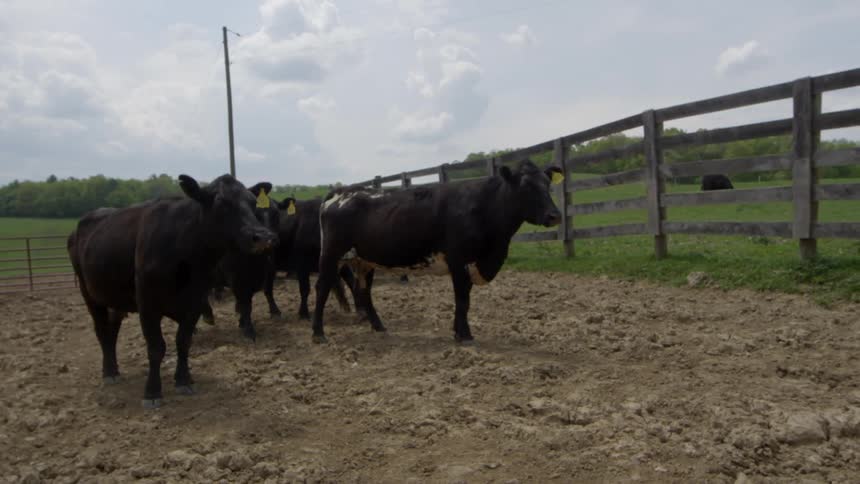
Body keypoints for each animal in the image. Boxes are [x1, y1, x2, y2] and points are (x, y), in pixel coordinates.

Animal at [200, 182, 285, 341]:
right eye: (256, 213)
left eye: (276, 214)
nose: (270, 239)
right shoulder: (236, 278)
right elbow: (244, 303)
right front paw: (248, 329)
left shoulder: (268, 270)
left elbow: (256, 297)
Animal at [311, 158, 563, 344]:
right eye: (526, 186)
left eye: (547, 184)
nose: (554, 215)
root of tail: (342, 192)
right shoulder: (458, 259)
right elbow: (462, 299)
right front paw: (465, 336)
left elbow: (464, 300)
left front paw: (459, 331)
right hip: (332, 253)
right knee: (322, 287)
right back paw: (318, 334)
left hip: (365, 260)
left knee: (363, 290)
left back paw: (379, 327)